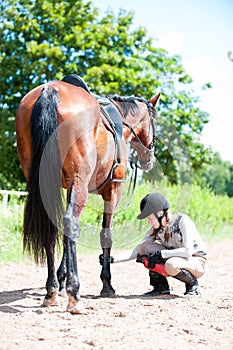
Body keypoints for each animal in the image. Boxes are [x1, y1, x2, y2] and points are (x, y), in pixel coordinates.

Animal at [15, 79, 159, 314]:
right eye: (154, 122)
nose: (150, 159)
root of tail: (50, 91)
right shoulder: (112, 190)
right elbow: (106, 235)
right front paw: (107, 284)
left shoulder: (66, 187)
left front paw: (61, 278)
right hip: (80, 181)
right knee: (70, 222)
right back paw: (74, 294)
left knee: (54, 226)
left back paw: (51, 290)